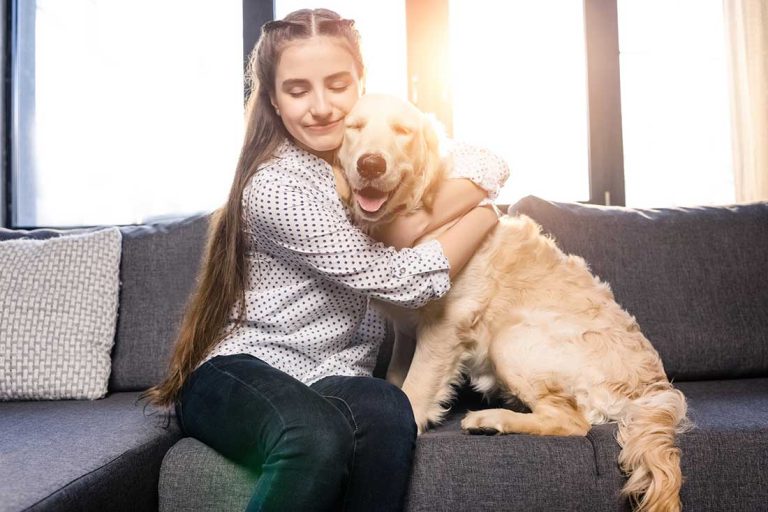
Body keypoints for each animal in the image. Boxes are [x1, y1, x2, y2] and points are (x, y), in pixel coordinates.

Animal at [336, 94, 688, 510]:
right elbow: (396, 376)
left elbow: (416, 386)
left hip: (512, 339)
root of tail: (653, 388)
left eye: (402, 131)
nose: (371, 164)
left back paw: (491, 420)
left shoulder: (446, 323)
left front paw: (414, 420)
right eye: (354, 127)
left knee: (572, 422)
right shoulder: (407, 329)